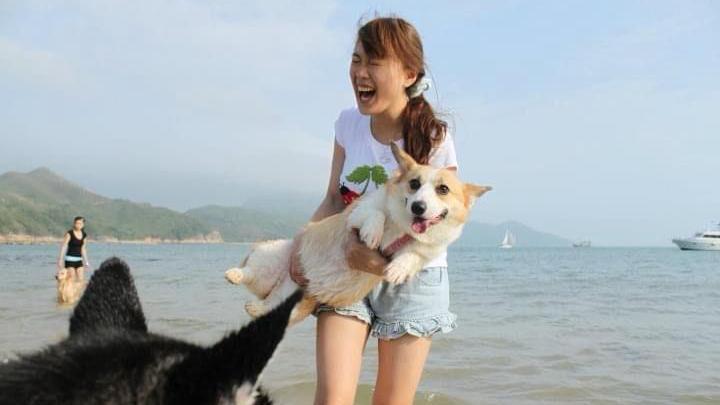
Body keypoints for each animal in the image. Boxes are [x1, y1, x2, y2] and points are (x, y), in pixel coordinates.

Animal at [226, 144, 490, 324]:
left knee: (269, 308)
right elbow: (377, 214)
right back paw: (234, 274)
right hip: (269, 259)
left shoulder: (427, 250)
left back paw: (256, 308)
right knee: (249, 272)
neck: (402, 227)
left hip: (292, 301)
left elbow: (413, 254)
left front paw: (398, 268)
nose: (418, 207)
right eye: (414, 184)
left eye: (443, 189)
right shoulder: (357, 213)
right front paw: (372, 234)